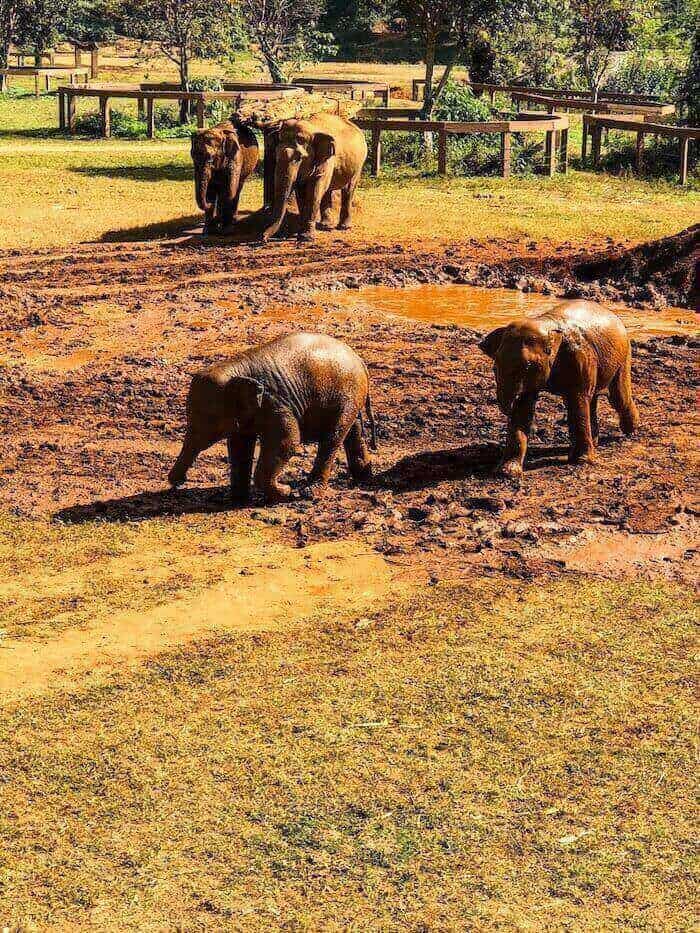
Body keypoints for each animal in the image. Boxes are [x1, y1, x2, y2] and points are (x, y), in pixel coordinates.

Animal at [168, 332, 376, 503]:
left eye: (209, 419)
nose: (176, 483)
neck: (236, 367)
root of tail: (360, 361)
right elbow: (239, 446)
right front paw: (234, 500)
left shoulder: (275, 402)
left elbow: (288, 441)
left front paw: (286, 492)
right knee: (353, 430)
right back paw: (363, 476)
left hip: (347, 396)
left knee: (333, 437)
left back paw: (309, 493)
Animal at [262, 113, 368, 242]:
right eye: (276, 155)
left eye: (299, 158)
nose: (264, 238)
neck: (311, 127)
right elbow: (302, 192)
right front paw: (301, 232)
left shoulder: (327, 160)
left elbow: (314, 192)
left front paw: (306, 237)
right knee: (327, 191)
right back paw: (325, 225)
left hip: (359, 165)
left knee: (348, 190)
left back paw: (344, 227)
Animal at [479, 300, 640, 479]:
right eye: (494, 367)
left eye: (527, 366)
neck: (546, 323)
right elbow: (524, 407)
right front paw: (507, 472)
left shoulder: (579, 357)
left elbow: (577, 401)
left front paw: (581, 462)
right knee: (591, 400)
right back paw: (597, 442)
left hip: (623, 358)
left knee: (617, 398)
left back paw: (631, 432)